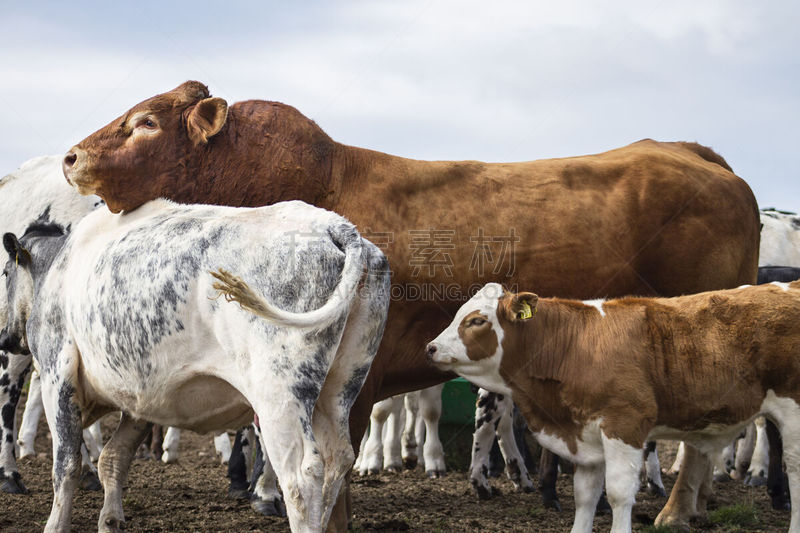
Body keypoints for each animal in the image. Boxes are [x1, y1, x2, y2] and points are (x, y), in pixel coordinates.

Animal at [0, 198, 390, 532]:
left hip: (279, 396)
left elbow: (65, 464)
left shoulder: (58, 374)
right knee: (339, 460)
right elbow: (113, 459)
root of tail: (338, 227)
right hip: (338, 390)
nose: (6, 337)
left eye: (5, 272)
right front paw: (110, 520)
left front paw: (56, 524)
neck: (58, 269)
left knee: (301, 476)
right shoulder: (141, 399)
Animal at [65, 81, 760, 528]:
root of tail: (692, 152)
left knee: (703, 443)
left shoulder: (354, 385)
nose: (72, 157)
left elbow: (333, 471)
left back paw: (673, 512)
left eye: (146, 122)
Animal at [428, 280, 800, 528]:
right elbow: (586, 496)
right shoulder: (586, 436)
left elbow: (620, 493)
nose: (431, 347)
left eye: (477, 321)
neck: (575, 343)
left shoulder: (625, 426)